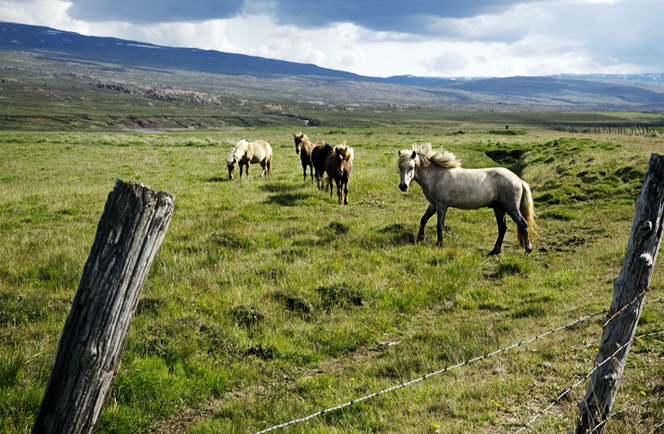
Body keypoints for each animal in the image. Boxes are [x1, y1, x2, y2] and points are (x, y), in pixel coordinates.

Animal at [396, 144, 536, 256]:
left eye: (411, 167)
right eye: (400, 167)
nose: (403, 186)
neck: (436, 176)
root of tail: (519, 180)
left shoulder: (441, 205)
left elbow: (439, 226)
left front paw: (439, 245)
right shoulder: (433, 205)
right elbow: (423, 219)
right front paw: (420, 238)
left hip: (512, 208)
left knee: (523, 224)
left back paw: (527, 250)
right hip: (499, 209)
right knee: (502, 228)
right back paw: (494, 251)